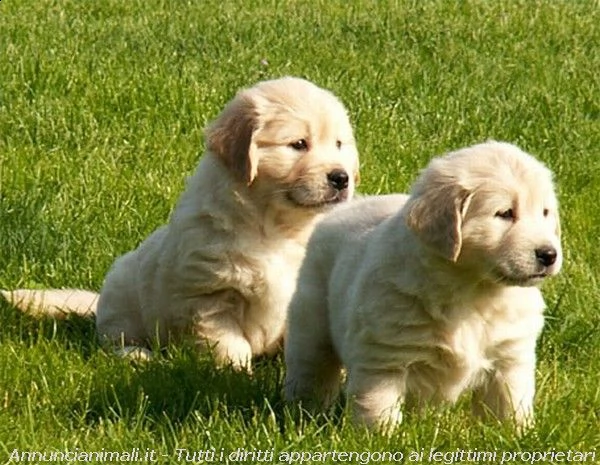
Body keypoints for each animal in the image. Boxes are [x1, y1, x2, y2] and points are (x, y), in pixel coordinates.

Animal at [4, 75, 358, 366]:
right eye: (298, 144)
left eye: (339, 144)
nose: (341, 178)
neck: (277, 229)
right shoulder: (209, 299)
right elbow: (231, 348)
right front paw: (232, 377)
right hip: (121, 297)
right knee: (113, 341)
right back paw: (138, 356)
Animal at [284, 140, 560, 428]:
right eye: (504, 213)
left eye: (545, 213)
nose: (549, 254)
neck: (472, 290)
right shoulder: (383, 360)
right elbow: (378, 409)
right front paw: (380, 437)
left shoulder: (509, 357)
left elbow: (509, 406)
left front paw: (515, 433)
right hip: (312, 323)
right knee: (312, 367)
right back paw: (304, 410)